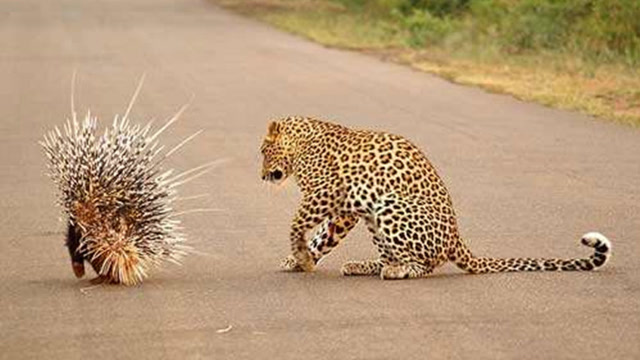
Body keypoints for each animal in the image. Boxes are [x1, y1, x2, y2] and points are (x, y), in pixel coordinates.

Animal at [258, 115, 608, 278]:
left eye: (262, 151)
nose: (261, 176)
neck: (301, 143)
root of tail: (456, 237)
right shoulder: (345, 209)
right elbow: (321, 235)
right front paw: (298, 259)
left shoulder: (328, 195)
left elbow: (298, 225)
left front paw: (301, 257)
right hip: (374, 218)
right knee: (392, 257)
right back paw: (365, 265)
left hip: (390, 206)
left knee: (425, 265)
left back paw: (398, 271)